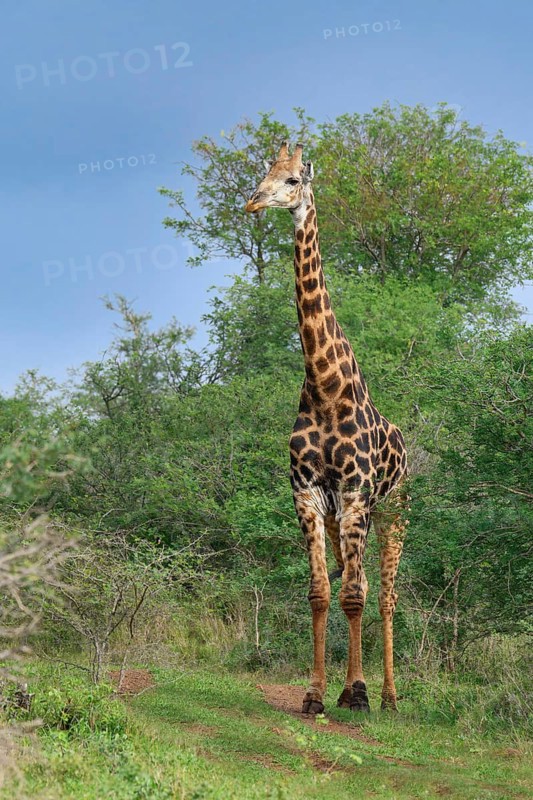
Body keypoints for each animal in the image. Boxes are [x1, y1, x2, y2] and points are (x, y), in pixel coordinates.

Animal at [245, 141, 408, 714]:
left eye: (293, 180)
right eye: (264, 173)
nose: (253, 202)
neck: (324, 385)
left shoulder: (357, 496)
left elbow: (354, 595)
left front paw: (356, 693)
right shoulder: (310, 496)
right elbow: (320, 592)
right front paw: (316, 693)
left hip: (393, 512)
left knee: (384, 595)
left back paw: (388, 697)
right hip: (346, 520)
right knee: (358, 581)